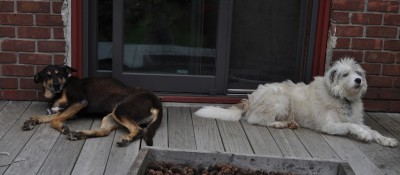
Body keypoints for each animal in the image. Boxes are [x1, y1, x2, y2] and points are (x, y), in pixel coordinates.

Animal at [22, 64, 163, 146]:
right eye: (48, 76)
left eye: (59, 74)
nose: (56, 85)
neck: (58, 93)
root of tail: (156, 101)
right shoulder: (66, 110)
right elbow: (47, 117)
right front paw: (33, 120)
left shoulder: (79, 102)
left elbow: (53, 120)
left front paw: (62, 127)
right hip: (111, 116)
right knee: (104, 132)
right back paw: (79, 134)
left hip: (120, 110)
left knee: (138, 130)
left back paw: (127, 139)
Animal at [195, 58, 398, 147]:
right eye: (345, 74)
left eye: (358, 73)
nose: (359, 80)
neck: (342, 98)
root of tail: (251, 97)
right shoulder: (329, 125)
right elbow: (351, 126)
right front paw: (363, 134)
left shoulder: (354, 118)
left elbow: (372, 130)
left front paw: (386, 139)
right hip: (281, 99)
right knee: (256, 119)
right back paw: (281, 123)